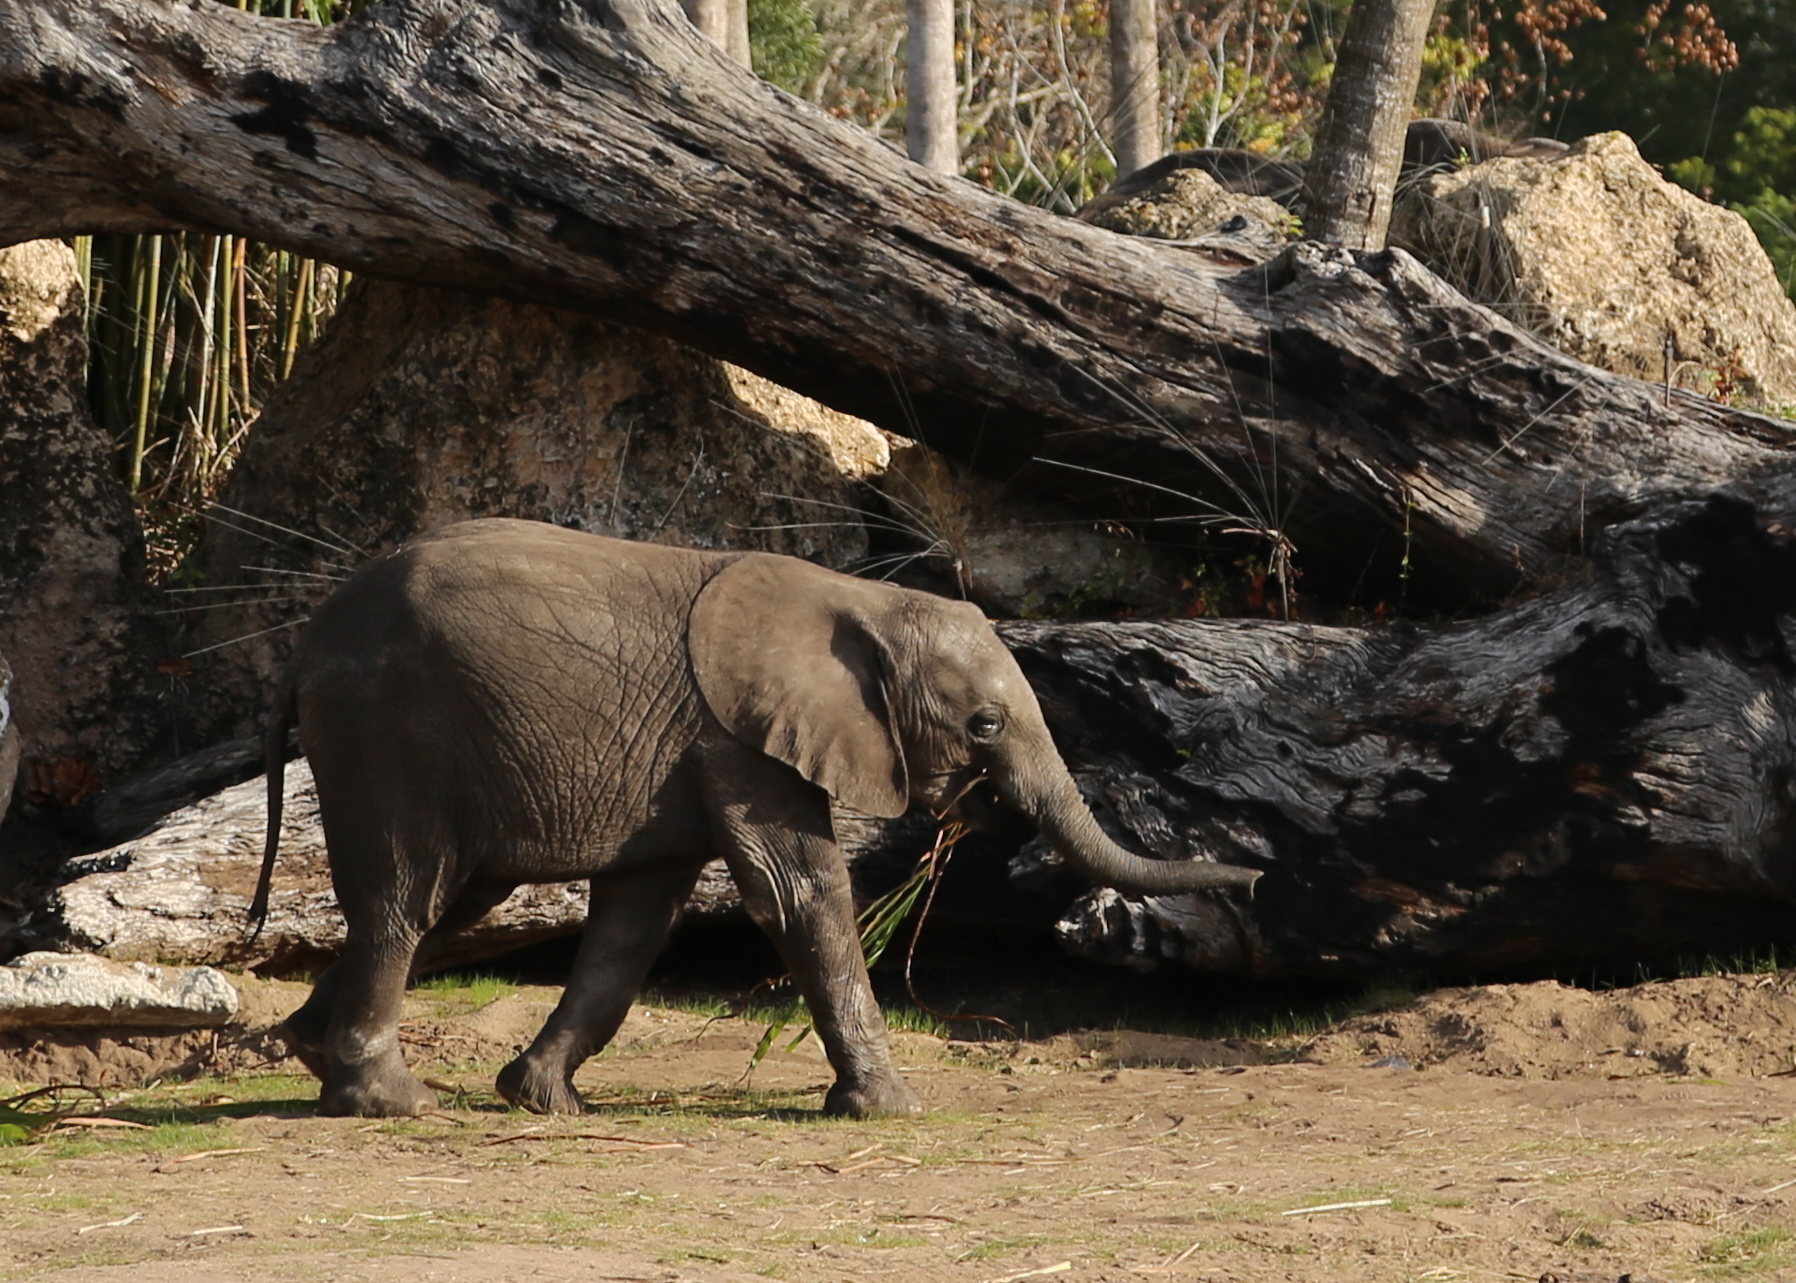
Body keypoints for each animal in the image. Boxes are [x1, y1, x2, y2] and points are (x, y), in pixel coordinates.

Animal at [253, 513, 1264, 1114]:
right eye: (983, 722)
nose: (1256, 876)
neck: (863, 597)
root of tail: (303, 646)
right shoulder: (737, 738)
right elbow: (798, 893)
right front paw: (891, 1109)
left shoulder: (683, 756)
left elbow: (636, 921)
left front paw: (545, 1100)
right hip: (388, 730)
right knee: (408, 898)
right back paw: (389, 1100)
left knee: (449, 901)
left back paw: (312, 1056)